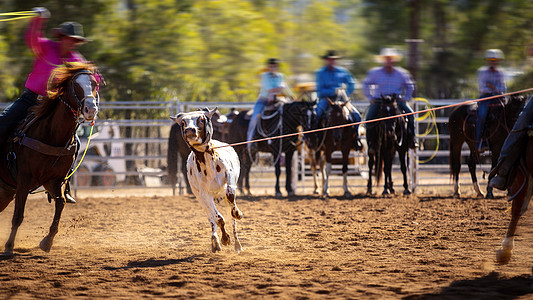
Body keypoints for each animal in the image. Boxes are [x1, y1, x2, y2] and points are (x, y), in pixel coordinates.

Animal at [0, 62, 99, 256]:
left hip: (5, 192)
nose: (91, 109)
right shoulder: (25, 179)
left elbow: (61, 203)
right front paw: (8, 247)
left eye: (94, 84)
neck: (51, 134)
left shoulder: (54, 180)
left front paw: (47, 242)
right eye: (75, 85)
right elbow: (18, 215)